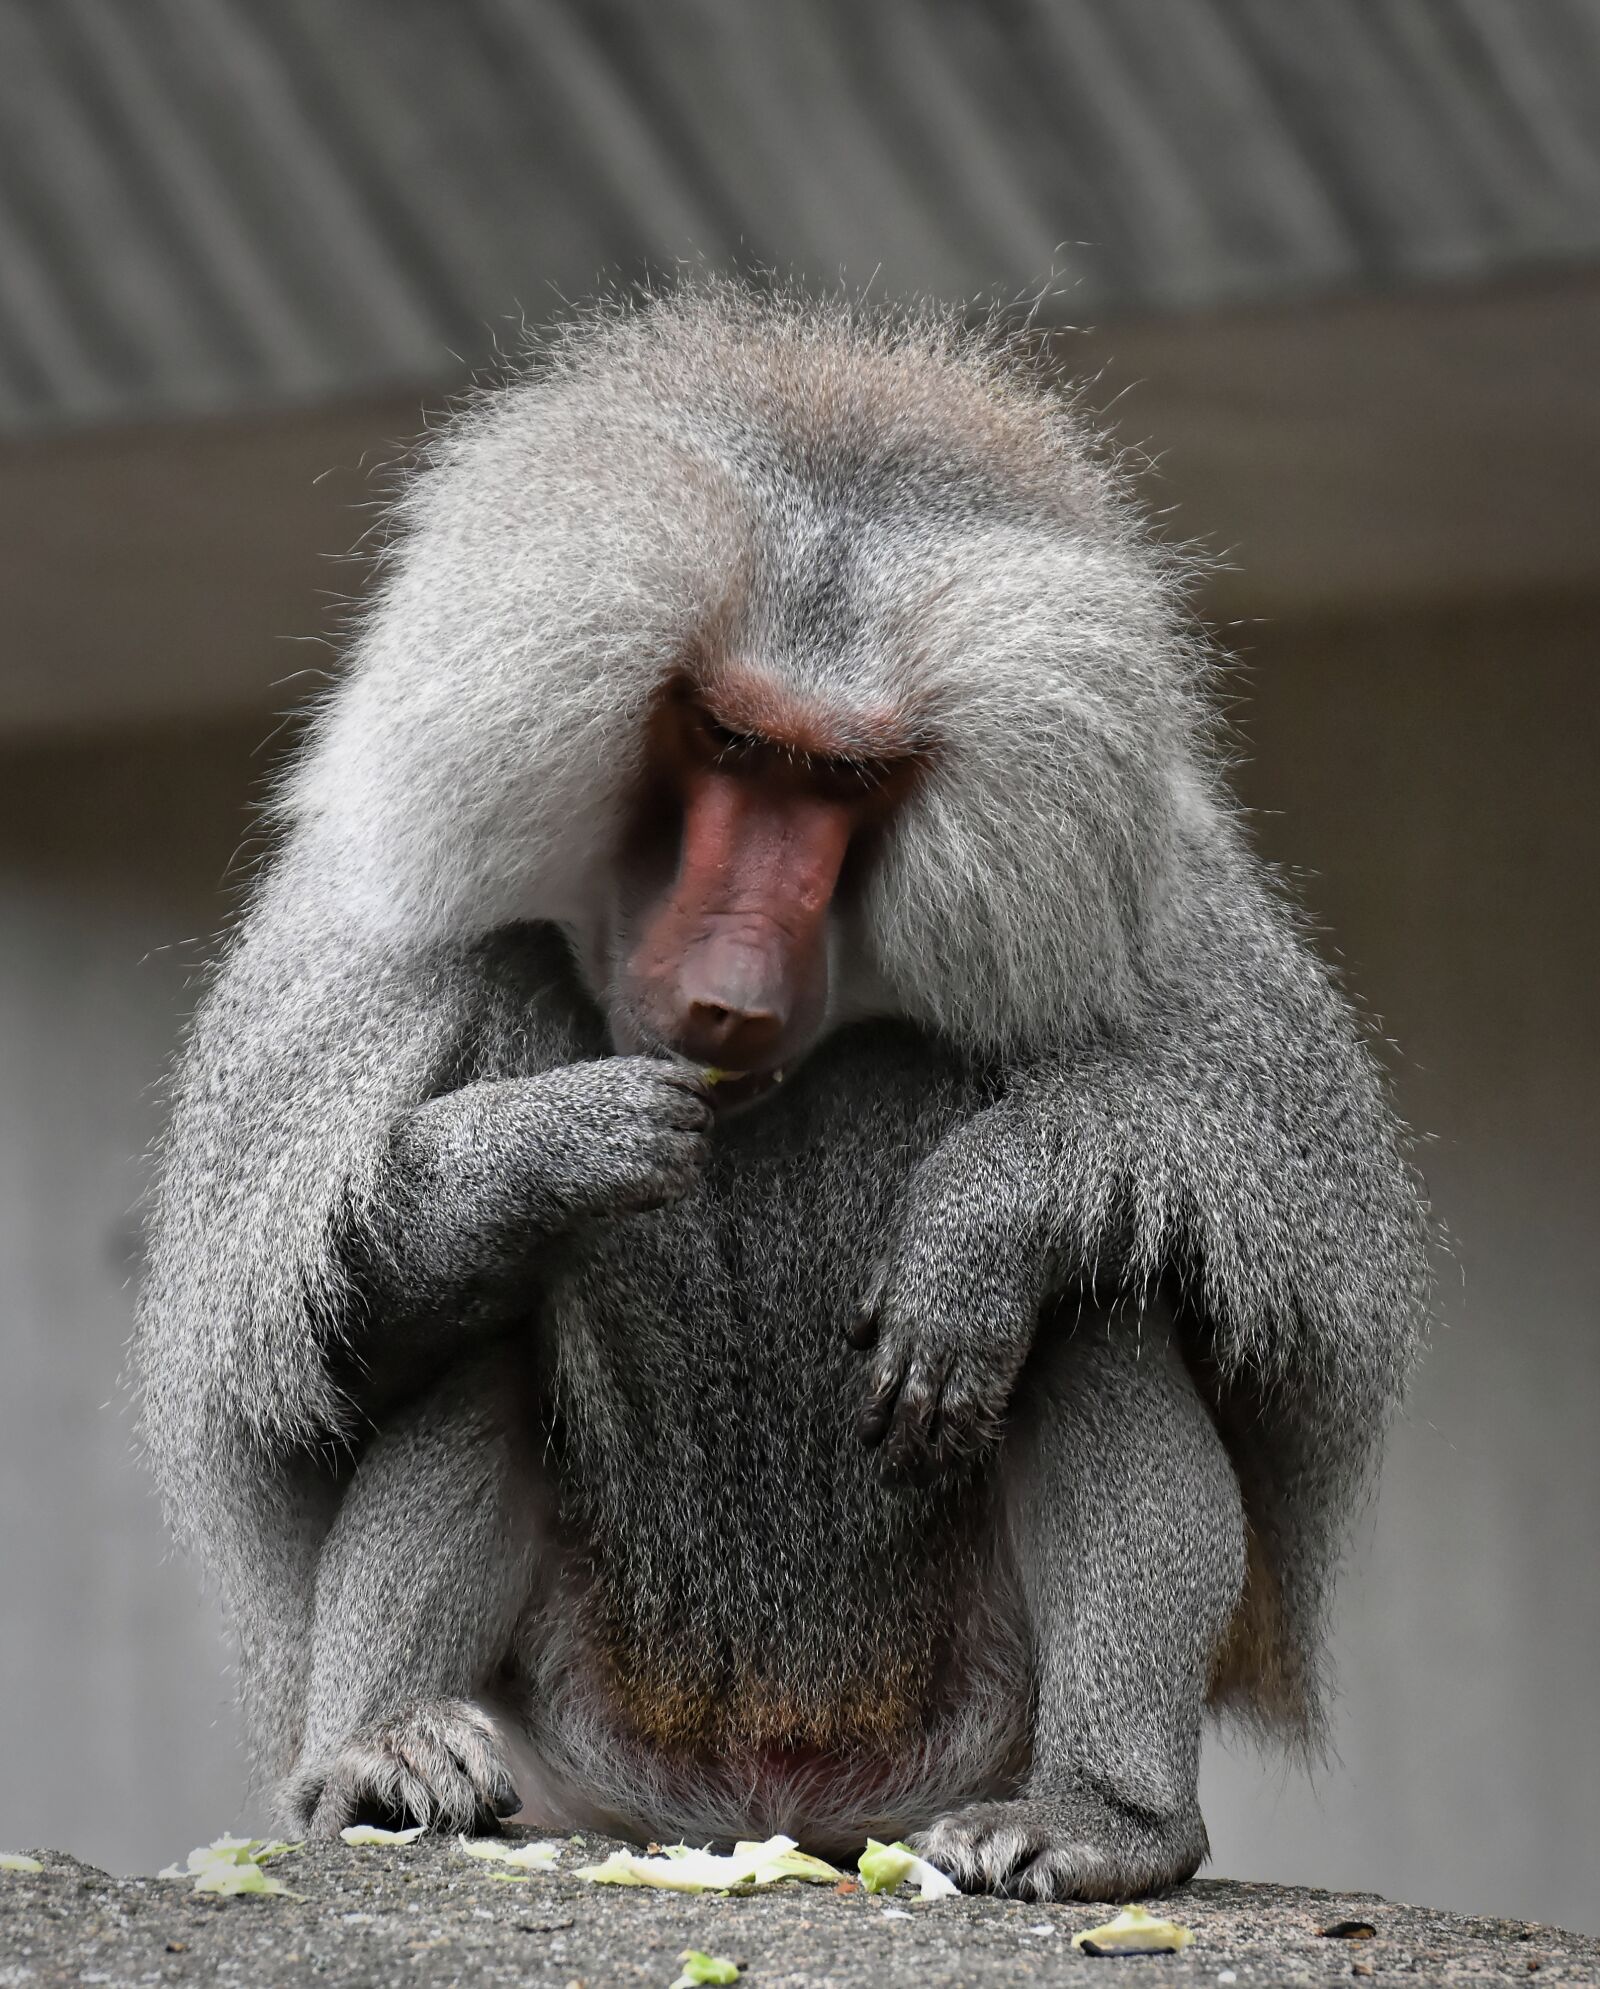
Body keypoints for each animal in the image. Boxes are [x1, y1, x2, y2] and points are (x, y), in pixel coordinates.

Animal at [135, 283, 1429, 1902]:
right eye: (734, 742)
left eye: (848, 781)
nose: (734, 989)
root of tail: (773, 1800)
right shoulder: (359, 950)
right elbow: (311, 1365)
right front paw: (545, 1148)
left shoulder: (1165, 912)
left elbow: (1221, 1266)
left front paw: (979, 1220)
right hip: (595, 1716)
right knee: (479, 1319)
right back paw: (381, 1761)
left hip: (958, 1715)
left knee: (1095, 1301)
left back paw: (1103, 1824)